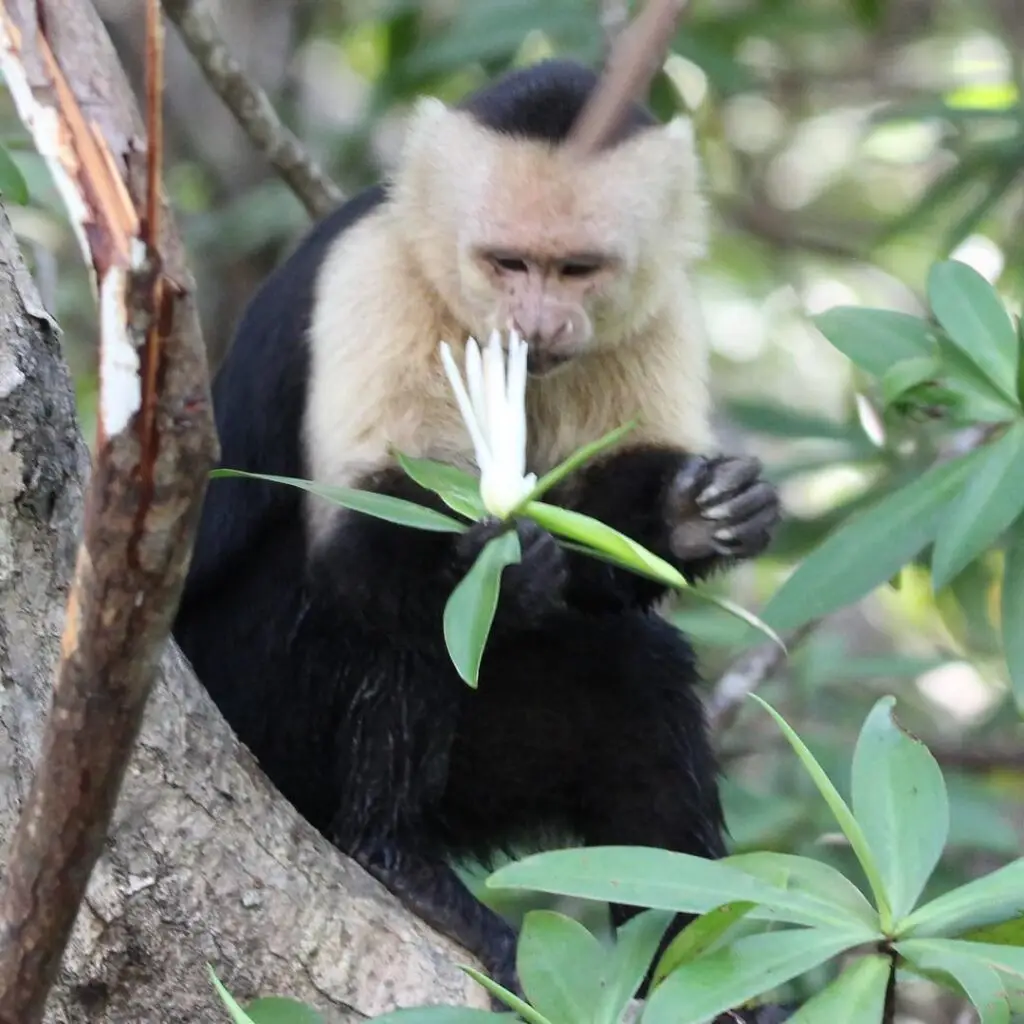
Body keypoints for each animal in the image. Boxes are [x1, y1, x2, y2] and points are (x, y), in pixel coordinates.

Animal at [172, 59, 785, 1021]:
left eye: (576, 270)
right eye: (506, 264)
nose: (536, 324)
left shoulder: (658, 308)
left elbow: (611, 559)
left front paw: (693, 515)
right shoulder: (374, 276)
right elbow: (365, 541)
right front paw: (493, 558)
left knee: (632, 670)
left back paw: (694, 963)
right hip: (250, 702)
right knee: (388, 621)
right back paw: (394, 857)